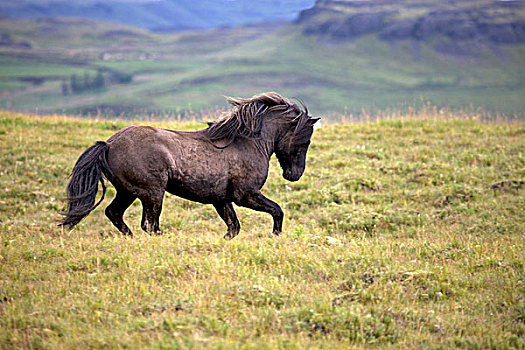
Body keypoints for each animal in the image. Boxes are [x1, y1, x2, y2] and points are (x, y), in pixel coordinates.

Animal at [59, 91, 318, 239]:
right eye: (305, 140)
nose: (294, 175)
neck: (248, 142)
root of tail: (109, 144)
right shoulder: (246, 195)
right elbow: (277, 210)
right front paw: (276, 237)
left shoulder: (221, 199)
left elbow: (233, 227)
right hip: (152, 193)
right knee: (149, 224)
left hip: (128, 192)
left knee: (115, 213)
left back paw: (130, 238)